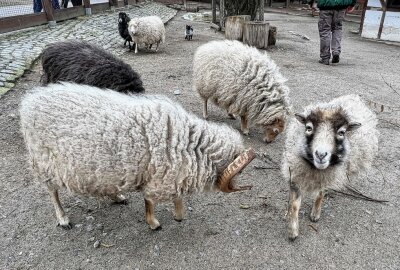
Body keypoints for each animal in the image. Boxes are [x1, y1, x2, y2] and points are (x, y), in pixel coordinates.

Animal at [20, 83, 255, 230]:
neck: (190, 144)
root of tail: (29, 101)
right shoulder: (160, 174)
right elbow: (150, 200)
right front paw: (154, 223)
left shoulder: (170, 172)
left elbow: (175, 196)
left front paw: (178, 215)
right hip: (44, 162)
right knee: (53, 192)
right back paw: (63, 218)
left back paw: (117, 196)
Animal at [282, 94, 378, 240]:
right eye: (308, 128)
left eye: (342, 132)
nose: (321, 154)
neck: (314, 169)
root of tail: (353, 97)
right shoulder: (295, 174)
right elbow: (294, 205)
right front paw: (292, 230)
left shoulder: (327, 177)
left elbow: (321, 194)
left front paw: (315, 215)